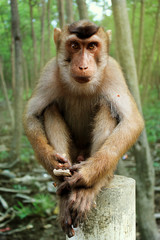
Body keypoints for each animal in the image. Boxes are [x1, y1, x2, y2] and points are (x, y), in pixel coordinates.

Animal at [23, 19, 144, 237]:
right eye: (74, 45)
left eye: (92, 46)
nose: (82, 65)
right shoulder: (48, 72)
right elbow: (31, 116)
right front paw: (52, 160)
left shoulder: (113, 71)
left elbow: (132, 121)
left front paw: (87, 174)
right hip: (72, 154)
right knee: (50, 107)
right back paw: (64, 191)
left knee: (107, 106)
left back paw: (88, 188)